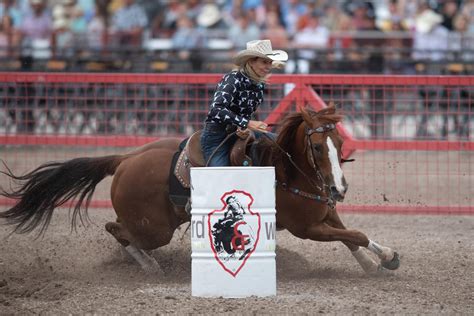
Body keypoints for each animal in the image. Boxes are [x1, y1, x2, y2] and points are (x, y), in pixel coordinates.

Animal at [0, 107, 400, 274]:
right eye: (317, 147)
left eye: (339, 142)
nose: (338, 187)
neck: (288, 171)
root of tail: (126, 158)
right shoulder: (308, 228)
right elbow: (355, 234)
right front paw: (384, 258)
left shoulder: (326, 214)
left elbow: (353, 236)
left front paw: (375, 261)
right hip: (154, 228)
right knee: (116, 229)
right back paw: (150, 266)